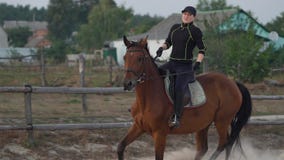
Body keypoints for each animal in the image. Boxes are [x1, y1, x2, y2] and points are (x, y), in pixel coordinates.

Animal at [117, 35, 253, 160]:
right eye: (125, 58)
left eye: (140, 59)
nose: (127, 84)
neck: (147, 99)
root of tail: (233, 82)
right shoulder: (138, 127)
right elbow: (120, 147)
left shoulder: (160, 134)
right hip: (204, 124)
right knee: (205, 148)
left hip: (222, 121)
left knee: (224, 143)